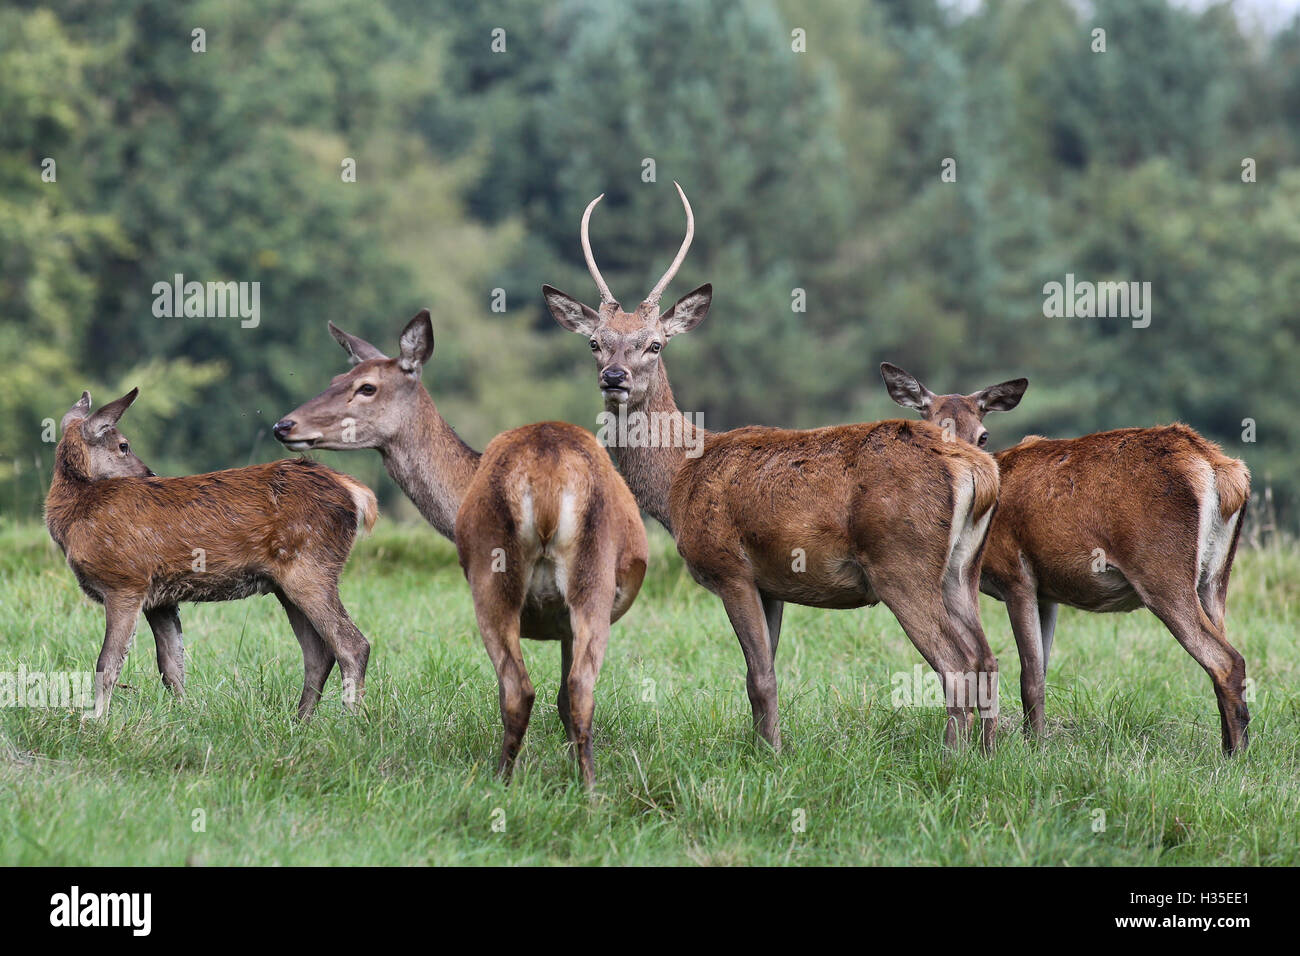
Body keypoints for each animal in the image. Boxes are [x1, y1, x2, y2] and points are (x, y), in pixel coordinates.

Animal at [45, 388, 377, 719]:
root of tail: (355, 491)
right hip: (288, 583)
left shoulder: (125, 581)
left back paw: (350, 719)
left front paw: (95, 719)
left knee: (352, 645)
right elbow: (171, 666)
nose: (151, 474)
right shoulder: (159, 598)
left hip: (310, 565)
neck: (77, 515)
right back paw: (300, 721)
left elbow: (108, 662)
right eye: (123, 446)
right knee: (319, 653)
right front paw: (186, 714)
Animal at [272, 311, 647, 786]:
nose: (284, 425)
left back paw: (508, 782)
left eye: (367, 387)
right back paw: (578, 787)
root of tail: (548, 477)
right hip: (584, 584)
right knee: (572, 690)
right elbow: (564, 700)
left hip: (498, 577)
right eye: (337, 377)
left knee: (522, 688)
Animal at [543, 183, 1003, 753]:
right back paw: (988, 753)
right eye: (594, 342)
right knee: (986, 657)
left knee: (956, 663)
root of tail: (979, 471)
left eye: (654, 343)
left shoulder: (730, 566)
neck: (678, 481)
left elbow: (759, 677)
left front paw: (772, 755)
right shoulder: (773, 585)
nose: (614, 376)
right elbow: (765, 673)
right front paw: (768, 747)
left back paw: (952, 757)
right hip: (963, 568)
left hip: (902, 561)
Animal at [879, 363, 1252, 753]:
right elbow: (1042, 670)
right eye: (934, 426)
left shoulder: (1016, 574)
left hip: (1163, 569)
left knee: (1226, 660)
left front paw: (1033, 747)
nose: (967, 463)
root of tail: (1222, 470)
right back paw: (1230, 748)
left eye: (983, 435)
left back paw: (1235, 757)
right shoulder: (1048, 593)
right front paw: (1038, 742)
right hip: (1215, 578)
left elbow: (1029, 674)